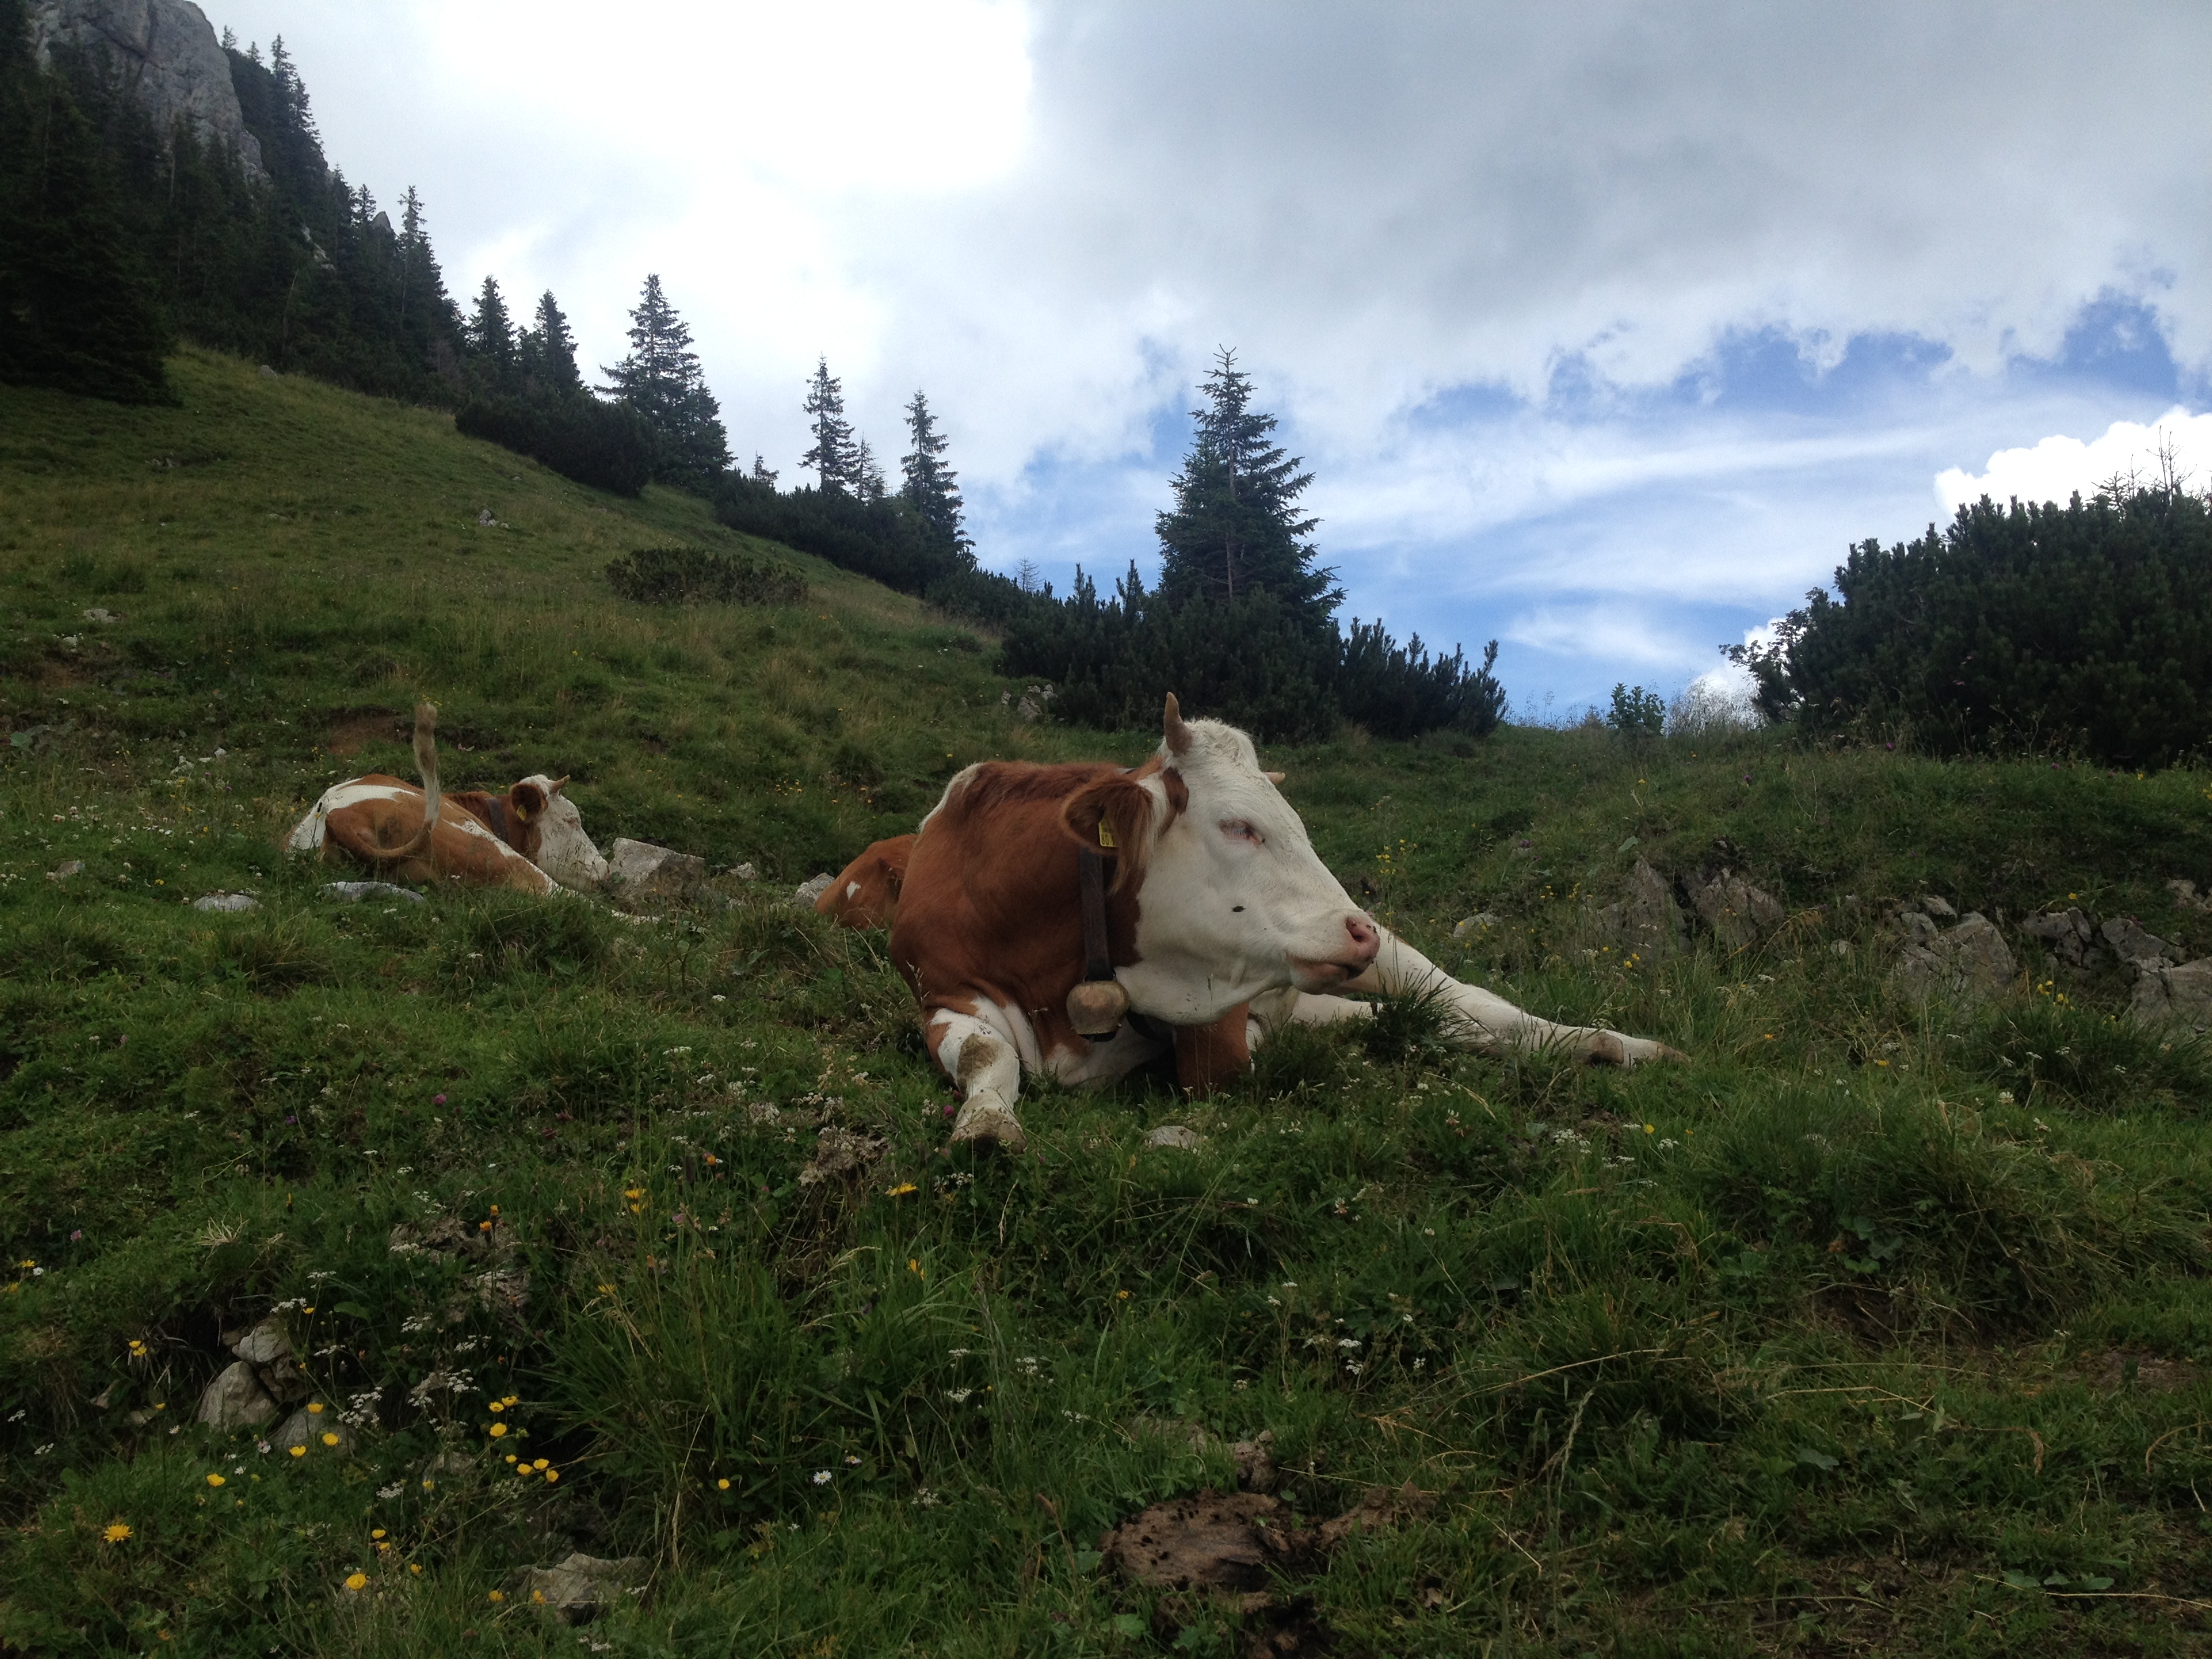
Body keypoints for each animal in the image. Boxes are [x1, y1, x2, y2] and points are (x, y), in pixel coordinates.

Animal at [890, 695, 1683, 1152]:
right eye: (1238, 826)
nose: (1358, 928)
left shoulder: (1218, 1024)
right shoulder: (943, 993)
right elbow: (988, 1056)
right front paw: (986, 1126)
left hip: (1393, 965)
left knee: (1475, 1007)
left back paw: (1615, 1046)